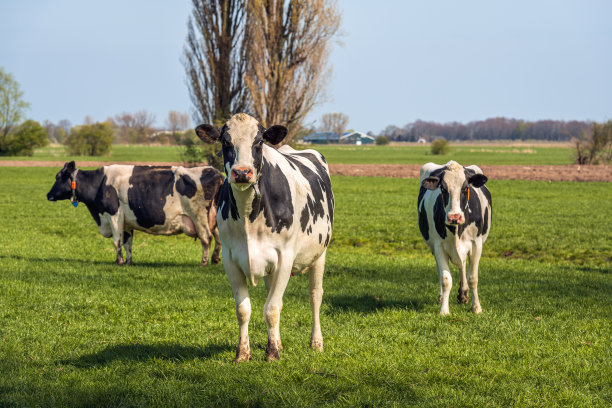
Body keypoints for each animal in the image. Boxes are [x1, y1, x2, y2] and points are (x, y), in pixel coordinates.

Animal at [46, 163, 222, 268]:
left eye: (58, 177)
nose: (48, 195)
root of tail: (214, 171)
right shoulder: (126, 222)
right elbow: (127, 242)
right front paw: (129, 262)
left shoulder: (114, 214)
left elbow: (117, 241)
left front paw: (119, 262)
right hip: (214, 217)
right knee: (219, 238)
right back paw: (215, 260)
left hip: (199, 216)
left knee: (206, 238)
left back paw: (204, 263)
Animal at [195, 113, 334, 362]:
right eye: (225, 141)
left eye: (259, 141)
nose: (242, 172)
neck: (249, 215)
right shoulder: (230, 259)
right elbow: (244, 309)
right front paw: (243, 353)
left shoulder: (285, 257)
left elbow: (271, 309)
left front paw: (271, 354)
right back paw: (278, 342)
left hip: (320, 253)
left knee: (315, 296)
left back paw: (316, 342)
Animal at [416, 160, 492, 316]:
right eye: (443, 189)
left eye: (465, 188)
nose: (454, 217)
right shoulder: (439, 246)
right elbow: (446, 279)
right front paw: (444, 310)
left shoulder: (476, 245)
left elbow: (473, 278)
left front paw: (476, 308)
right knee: (442, 271)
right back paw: (443, 297)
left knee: (462, 265)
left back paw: (463, 294)